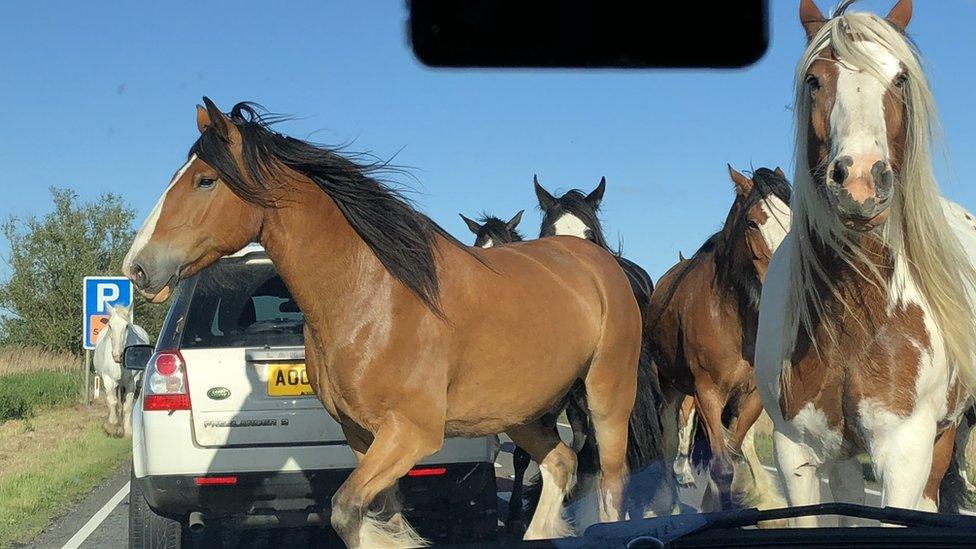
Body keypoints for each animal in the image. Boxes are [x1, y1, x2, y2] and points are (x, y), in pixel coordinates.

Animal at [92, 304, 150, 436]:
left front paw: (128, 430)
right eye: (110, 325)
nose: (117, 356)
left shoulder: (132, 381)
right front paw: (112, 426)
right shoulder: (108, 379)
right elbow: (112, 401)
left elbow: (127, 405)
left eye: (127, 326)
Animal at [124, 99, 640, 548]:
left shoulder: (410, 434)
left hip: (606, 398)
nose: (137, 267)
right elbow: (381, 513)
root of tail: (596, 261)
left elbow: (346, 510)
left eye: (205, 181)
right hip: (521, 412)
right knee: (561, 463)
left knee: (610, 481)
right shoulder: (363, 437)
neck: (374, 298)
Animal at [648, 164, 792, 510]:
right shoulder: (708, 393)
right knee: (670, 438)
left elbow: (734, 456)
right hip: (669, 387)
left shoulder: (752, 396)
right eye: (752, 222)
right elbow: (722, 467)